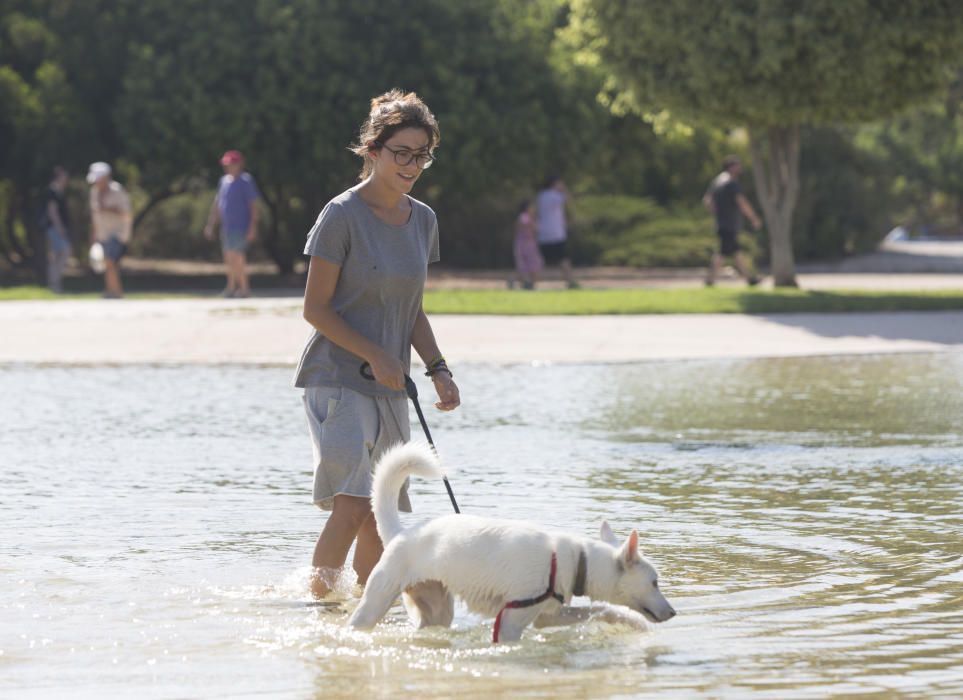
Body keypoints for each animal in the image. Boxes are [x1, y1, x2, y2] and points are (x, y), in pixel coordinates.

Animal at [348, 446, 676, 644]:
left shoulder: (547, 616)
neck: (575, 559)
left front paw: (628, 622)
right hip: (374, 604)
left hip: (437, 610)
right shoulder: (509, 624)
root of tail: (400, 533)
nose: (674, 613)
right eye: (655, 583)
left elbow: (601, 610)